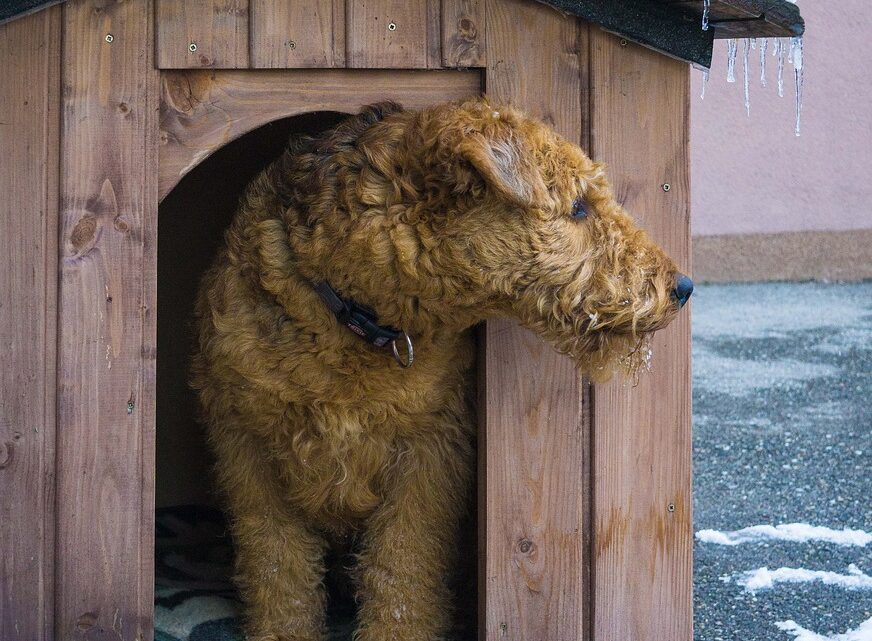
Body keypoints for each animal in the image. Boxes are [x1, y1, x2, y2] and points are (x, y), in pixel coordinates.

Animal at [192, 96, 696, 640]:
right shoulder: (248, 449)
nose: (683, 287)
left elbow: (402, 570)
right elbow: (278, 571)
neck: (354, 314)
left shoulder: (430, 448)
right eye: (579, 206)